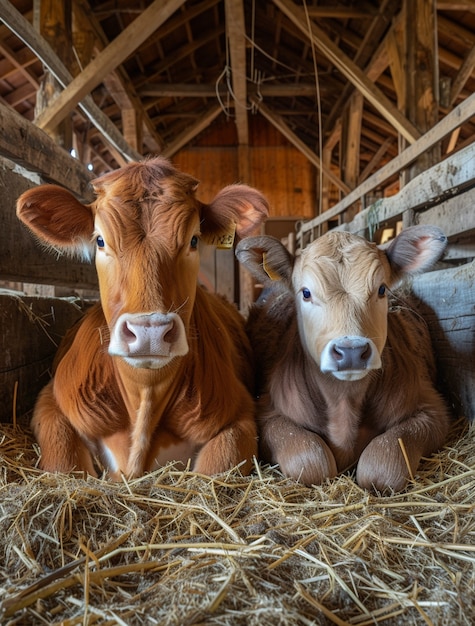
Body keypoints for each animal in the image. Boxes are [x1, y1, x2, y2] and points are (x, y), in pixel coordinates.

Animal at [16, 157, 270, 478]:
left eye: (194, 240)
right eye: (100, 240)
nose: (150, 332)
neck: (144, 399)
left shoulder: (240, 414)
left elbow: (219, 463)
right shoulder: (51, 402)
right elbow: (62, 462)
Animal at [236, 225, 452, 492]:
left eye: (382, 289)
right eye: (306, 293)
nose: (351, 351)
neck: (344, 402)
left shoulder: (433, 409)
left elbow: (382, 464)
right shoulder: (267, 411)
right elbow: (312, 459)